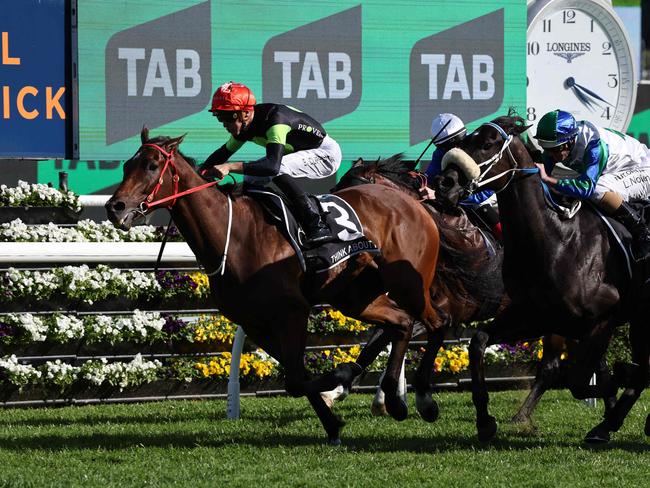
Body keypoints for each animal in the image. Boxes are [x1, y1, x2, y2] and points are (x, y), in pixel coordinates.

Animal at [105, 127, 440, 444]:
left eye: (151, 165)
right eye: (127, 165)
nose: (115, 207)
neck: (235, 236)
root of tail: (409, 201)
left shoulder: (292, 311)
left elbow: (296, 378)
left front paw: (339, 375)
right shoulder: (253, 322)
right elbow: (297, 376)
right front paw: (333, 423)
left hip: (409, 283)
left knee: (435, 323)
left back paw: (423, 400)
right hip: (355, 297)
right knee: (402, 322)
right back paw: (394, 401)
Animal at [430, 114, 648, 442]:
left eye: (488, 143)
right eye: (466, 140)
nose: (444, 183)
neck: (558, 241)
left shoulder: (602, 319)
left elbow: (579, 380)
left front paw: (613, 394)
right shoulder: (535, 315)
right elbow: (479, 342)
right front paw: (485, 421)